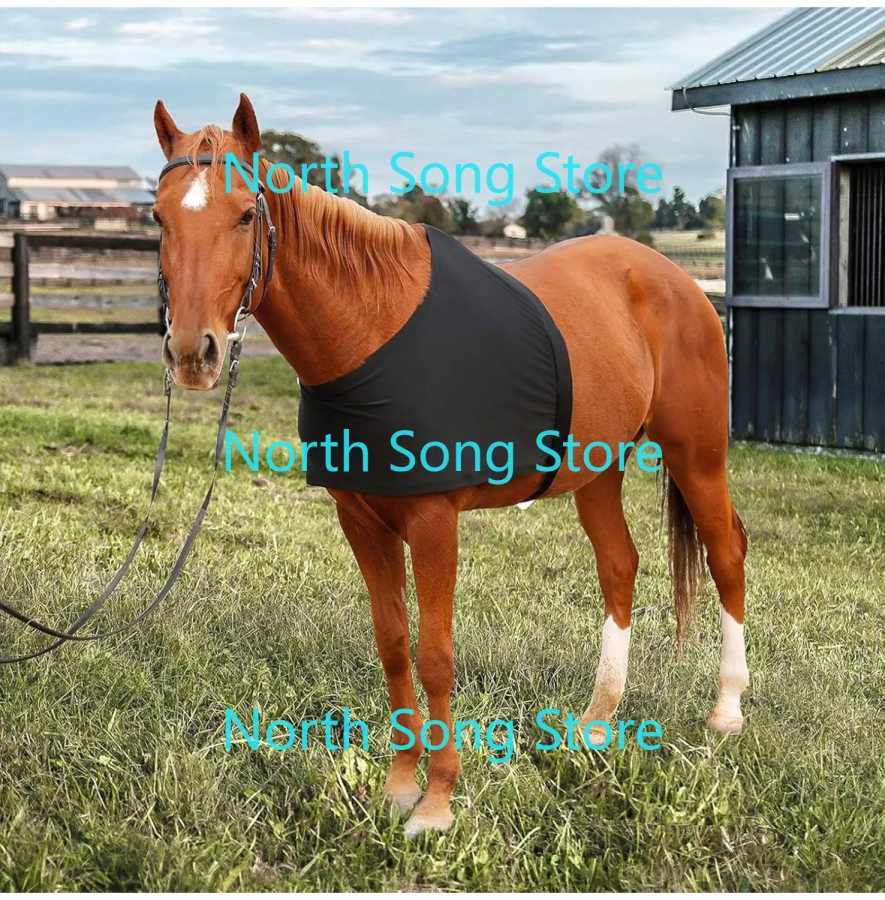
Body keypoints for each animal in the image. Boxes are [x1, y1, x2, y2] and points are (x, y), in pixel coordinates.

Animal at [152, 94, 749, 837]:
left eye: (242, 214)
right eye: (159, 216)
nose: (192, 353)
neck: (372, 328)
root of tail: (674, 279)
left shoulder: (435, 522)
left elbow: (435, 656)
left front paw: (436, 803)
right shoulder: (360, 520)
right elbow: (393, 645)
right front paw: (399, 787)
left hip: (697, 455)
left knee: (726, 553)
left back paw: (726, 709)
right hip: (596, 468)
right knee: (620, 564)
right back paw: (595, 722)